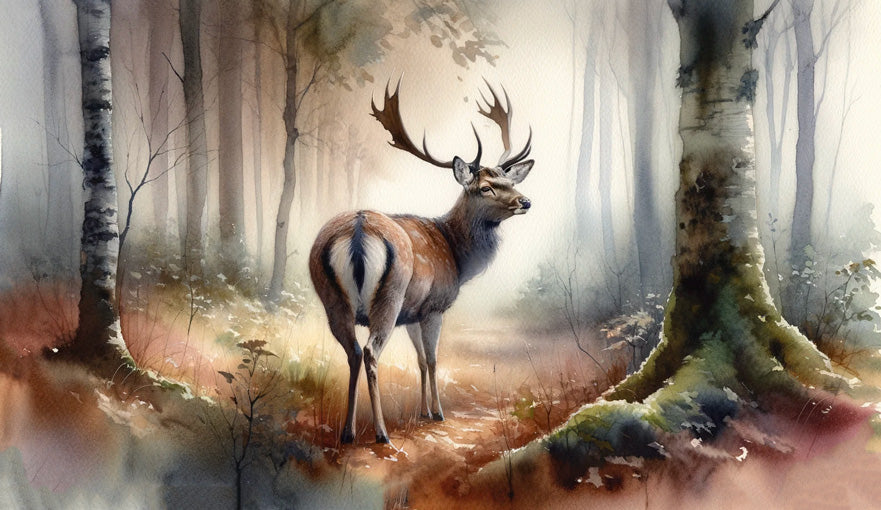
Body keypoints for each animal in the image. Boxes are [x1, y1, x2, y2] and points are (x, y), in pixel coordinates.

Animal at [308, 80, 534, 444]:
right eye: (485, 187)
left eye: (510, 181)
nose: (525, 201)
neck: (456, 254)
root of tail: (357, 229)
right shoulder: (434, 306)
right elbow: (432, 359)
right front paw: (437, 412)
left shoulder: (412, 313)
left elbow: (419, 361)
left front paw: (424, 410)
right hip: (388, 297)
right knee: (370, 352)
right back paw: (382, 433)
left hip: (332, 299)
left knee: (353, 352)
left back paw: (349, 432)